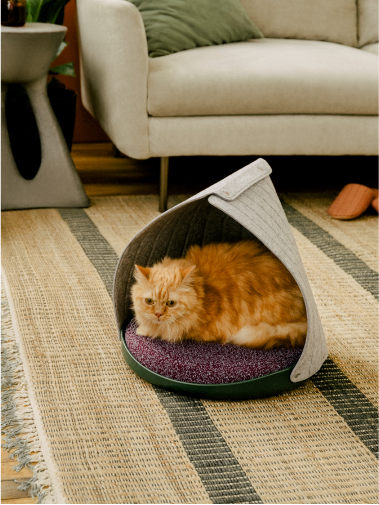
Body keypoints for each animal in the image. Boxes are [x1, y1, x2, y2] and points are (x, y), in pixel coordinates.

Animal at [132, 239, 308, 348]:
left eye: (171, 303)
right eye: (149, 301)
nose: (158, 314)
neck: (204, 290)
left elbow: (163, 331)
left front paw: (143, 330)